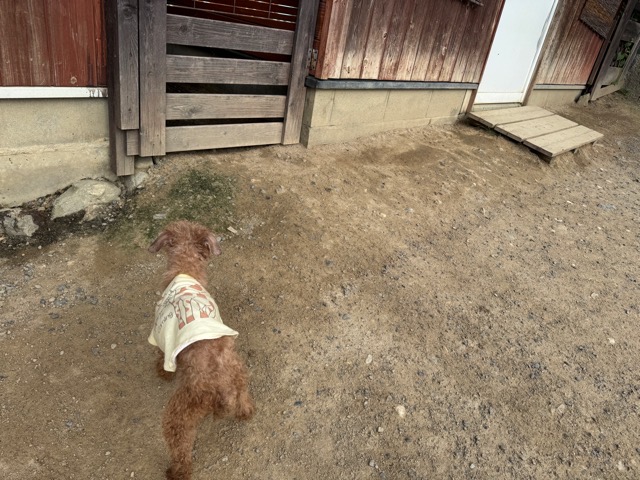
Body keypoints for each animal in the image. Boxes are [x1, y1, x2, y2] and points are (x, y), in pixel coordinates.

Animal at [148, 220, 254, 480]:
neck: (185, 267)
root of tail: (223, 390)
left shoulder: (160, 335)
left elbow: (161, 356)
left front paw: (163, 372)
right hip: (240, 374)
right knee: (245, 399)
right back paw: (245, 411)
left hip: (180, 414)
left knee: (181, 449)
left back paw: (176, 472)